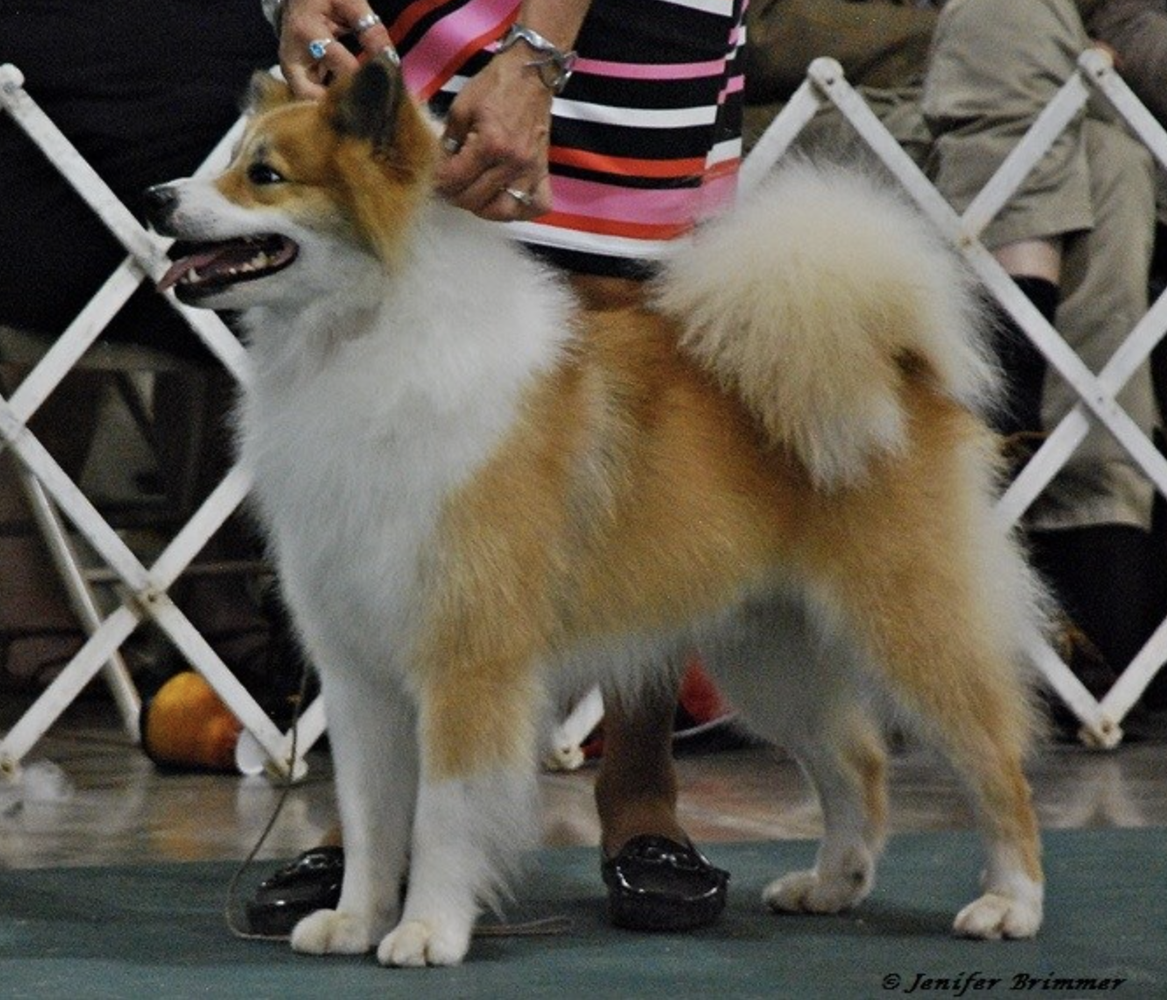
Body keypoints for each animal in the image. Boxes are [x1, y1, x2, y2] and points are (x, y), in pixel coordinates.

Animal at [145, 54, 1050, 966]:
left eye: (265, 175)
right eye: (232, 161)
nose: (155, 199)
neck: (362, 335)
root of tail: (899, 368)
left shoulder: (468, 659)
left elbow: (441, 816)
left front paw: (428, 929)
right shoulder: (356, 668)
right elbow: (369, 819)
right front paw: (354, 920)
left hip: (910, 627)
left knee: (994, 765)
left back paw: (1009, 905)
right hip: (768, 653)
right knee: (857, 762)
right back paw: (830, 885)